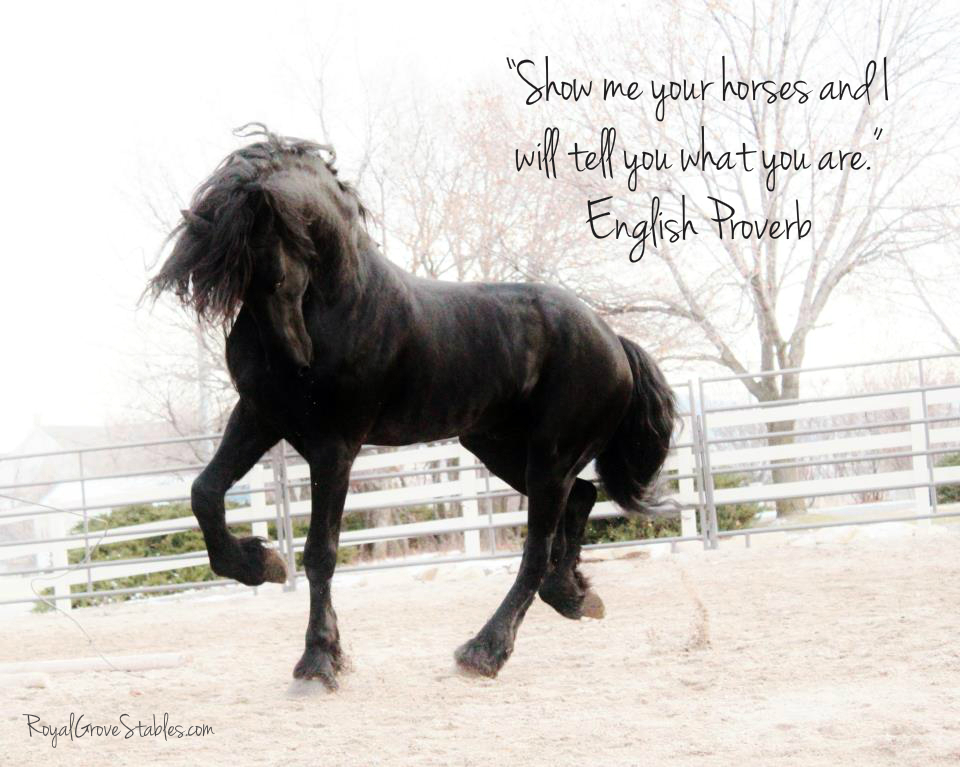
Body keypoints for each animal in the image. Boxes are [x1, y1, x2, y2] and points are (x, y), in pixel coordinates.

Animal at [147, 125, 677, 688]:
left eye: (272, 250)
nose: (297, 355)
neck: (338, 302)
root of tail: (613, 340)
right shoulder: (260, 416)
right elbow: (204, 493)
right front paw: (260, 564)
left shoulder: (335, 445)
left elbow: (321, 553)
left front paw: (319, 659)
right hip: (501, 448)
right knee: (581, 499)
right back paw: (574, 597)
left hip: (549, 457)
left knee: (537, 548)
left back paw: (484, 651)